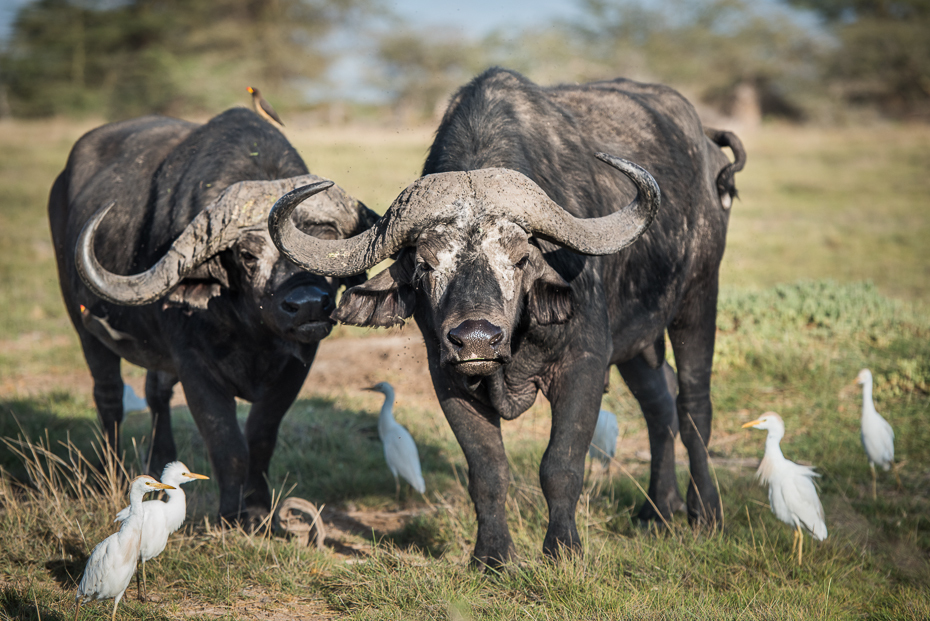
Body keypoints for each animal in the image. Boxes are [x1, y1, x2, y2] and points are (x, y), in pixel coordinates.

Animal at [49, 109, 376, 520]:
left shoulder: (297, 365)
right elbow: (227, 443)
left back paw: (158, 465)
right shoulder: (195, 367)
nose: (308, 305)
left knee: (156, 394)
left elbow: (261, 435)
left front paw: (258, 508)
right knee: (108, 396)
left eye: (332, 248)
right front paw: (233, 515)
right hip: (84, 327)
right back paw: (107, 472)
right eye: (248, 255)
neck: (254, 336)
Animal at [268, 69, 748, 568]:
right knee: (660, 403)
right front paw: (492, 556)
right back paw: (658, 510)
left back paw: (705, 513)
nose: (477, 338)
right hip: (638, 343)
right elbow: (487, 469)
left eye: (519, 259)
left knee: (694, 404)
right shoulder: (447, 375)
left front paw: (563, 549)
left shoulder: (583, 363)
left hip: (699, 297)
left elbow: (561, 464)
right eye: (425, 264)